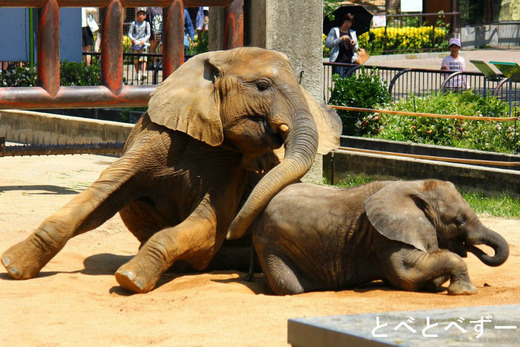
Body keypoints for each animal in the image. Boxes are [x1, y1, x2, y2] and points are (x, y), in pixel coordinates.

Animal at [2, 47, 344, 294]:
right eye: (262, 85)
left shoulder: (232, 170)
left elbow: (207, 227)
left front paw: (130, 278)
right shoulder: (154, 138)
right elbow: (102, 195)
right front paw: (13, 266)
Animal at [250, 179, 510, 296]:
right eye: (458, 221)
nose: (474, 248)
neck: (417, 187)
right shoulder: (384, 237)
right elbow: (405, 274)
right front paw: (464, 292)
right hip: (272, 243)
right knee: (289, 286)